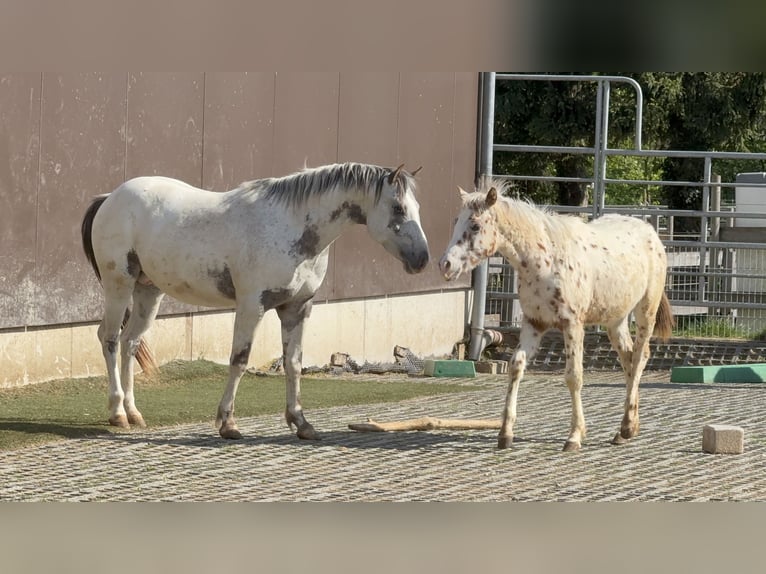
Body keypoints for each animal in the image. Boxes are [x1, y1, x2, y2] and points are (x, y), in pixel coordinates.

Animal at [81, 162, 430, 440]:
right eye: (398, 208)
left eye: (417, 206)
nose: (422, 259)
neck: (293, 227)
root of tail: (109, 198)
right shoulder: (252, 305)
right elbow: (240, 360)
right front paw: (228, 424)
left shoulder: (296, 309)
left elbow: (293, 363)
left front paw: (301, 423)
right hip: (119, 285)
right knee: (109, 339)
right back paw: (117, 413)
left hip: (148, 291)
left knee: (130, 343)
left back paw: (133, 412)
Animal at [439, 179, 673, 452]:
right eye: (456, 220)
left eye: (475, 225)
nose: (445, 265)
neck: (545, 261)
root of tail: (651, 232)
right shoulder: (534, 324)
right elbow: (516, 366)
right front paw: (505, 433)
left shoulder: (573, 325)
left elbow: (574, 376)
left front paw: (574, 436)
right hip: (615, 320)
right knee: (627, 358)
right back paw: (626, 430)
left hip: (646, 310)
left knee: (639, 357)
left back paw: (626, 426)